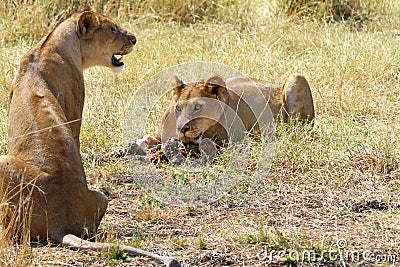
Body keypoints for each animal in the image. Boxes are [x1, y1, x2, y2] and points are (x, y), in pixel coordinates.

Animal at [0, 5, 180, 267]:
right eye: (112, 28)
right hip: (101, 197)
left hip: (3, 162)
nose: (134, 39)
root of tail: (60, 221)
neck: (51, 43)